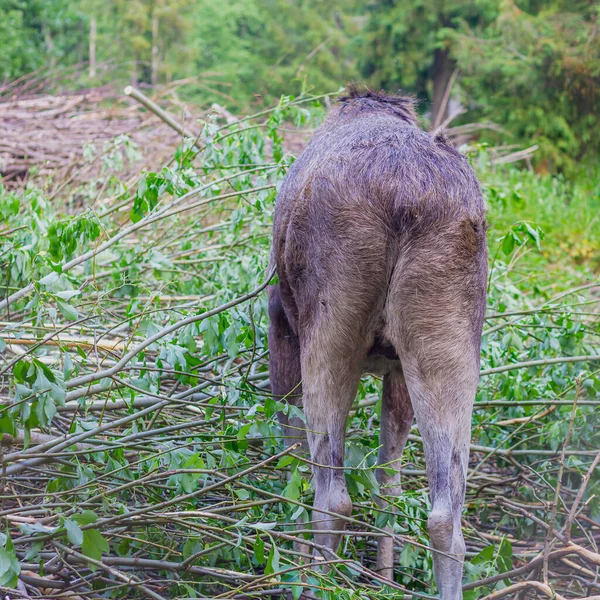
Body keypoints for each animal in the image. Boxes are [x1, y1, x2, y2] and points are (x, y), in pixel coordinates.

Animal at [268, 85, 488, 600]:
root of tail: (403, 199)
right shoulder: (398, 374)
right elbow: (389, 479)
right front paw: (385, 576)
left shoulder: (280, 331)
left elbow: (293, 466)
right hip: (447, 342)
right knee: (446, 514)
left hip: (327, 335)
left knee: (332, 496)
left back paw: (318, 583)